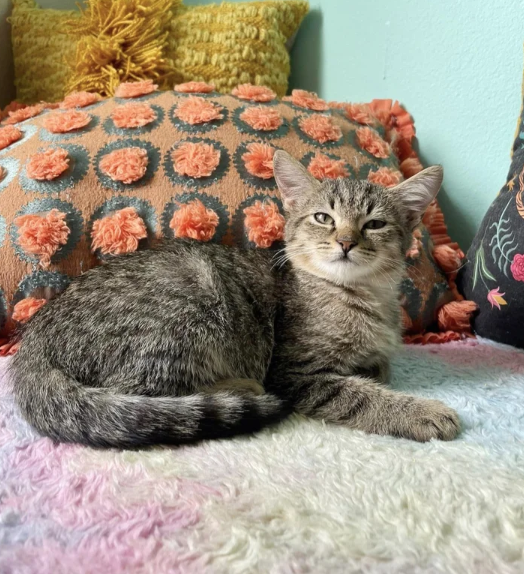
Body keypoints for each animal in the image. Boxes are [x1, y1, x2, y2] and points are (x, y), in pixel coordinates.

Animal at [9, 153, 458, 450]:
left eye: (375, 223)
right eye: (323, 218)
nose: (346, 242)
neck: (358, 295)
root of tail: (33, 342)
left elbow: (378, 368)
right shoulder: (295, 372)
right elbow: (359, 394)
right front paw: (419, 413)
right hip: (185, 313)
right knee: (141, 395)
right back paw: (240, 388)